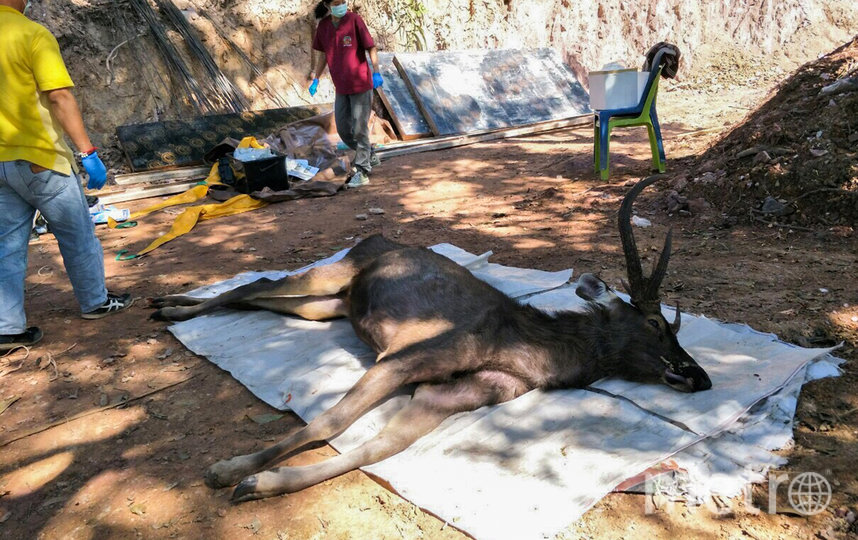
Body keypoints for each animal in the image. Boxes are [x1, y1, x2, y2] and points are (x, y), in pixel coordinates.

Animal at [152, 175, 708, 500]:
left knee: (266, 298)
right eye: (657, 325)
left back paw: (172, 306)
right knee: (258, 282)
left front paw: (260, 483)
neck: (523, 352)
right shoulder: (402, 359)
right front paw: (229, 469)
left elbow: (376, 449)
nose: (698, 377)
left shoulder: (447, 395)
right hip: (335, 270)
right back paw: (169, 308)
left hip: (333, 305)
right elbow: (328, 422)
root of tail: (371, 239)